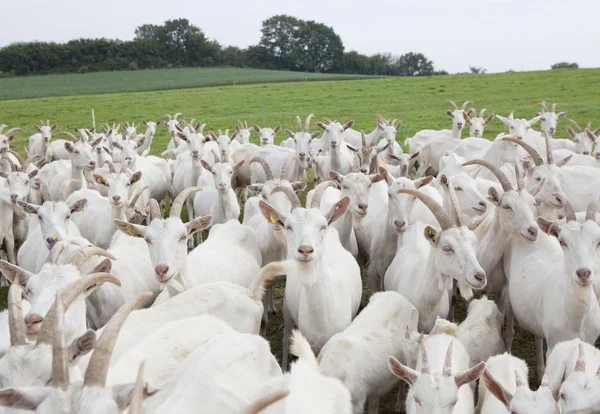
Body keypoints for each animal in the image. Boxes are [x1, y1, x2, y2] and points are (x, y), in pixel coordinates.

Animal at [258, 184, 360, 368]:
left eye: (322, 226)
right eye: (288, 226)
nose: (305, 250)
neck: (322, 318)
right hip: (287, 309)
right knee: (286, 340)